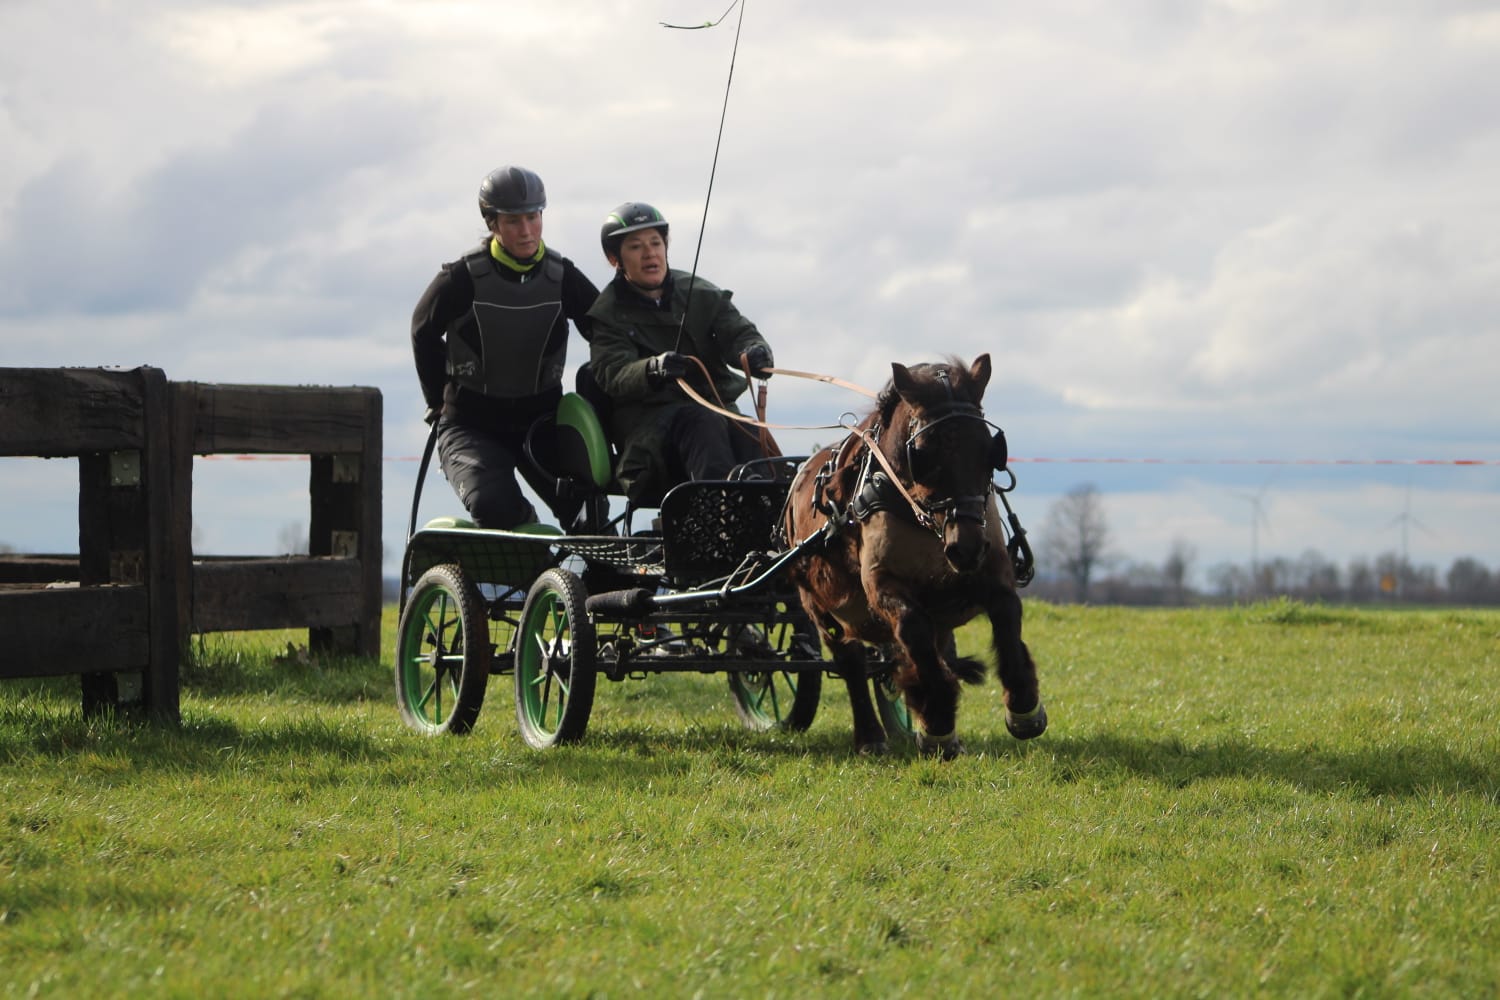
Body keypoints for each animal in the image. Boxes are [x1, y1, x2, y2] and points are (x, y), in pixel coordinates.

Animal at [786, 355, 1044, 755]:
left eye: (989, 450)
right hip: (820, 607)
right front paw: (937, 722)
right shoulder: (881, 583)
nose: (965, 547)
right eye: (923, 452)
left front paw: (1024, 707)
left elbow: (1006, 612)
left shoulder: (991, 566)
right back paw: (871, 737)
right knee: (851, 663)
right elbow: (912, 628)